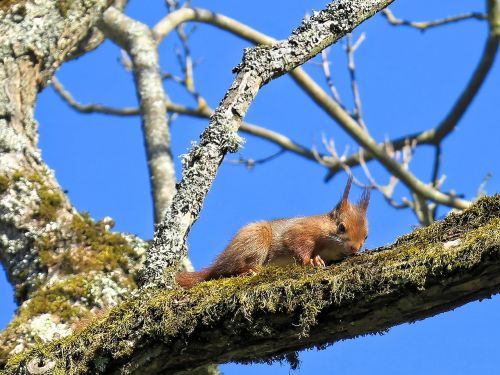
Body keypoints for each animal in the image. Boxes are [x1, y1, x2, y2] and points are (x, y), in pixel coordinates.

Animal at [175, 178, 368, 290]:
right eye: (341, 227)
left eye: (366, 236)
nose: (354, 248)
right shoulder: (303, 230)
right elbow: (297, 244)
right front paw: (311, 261)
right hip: (255, 241)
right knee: (230, 269)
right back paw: (250, 270)